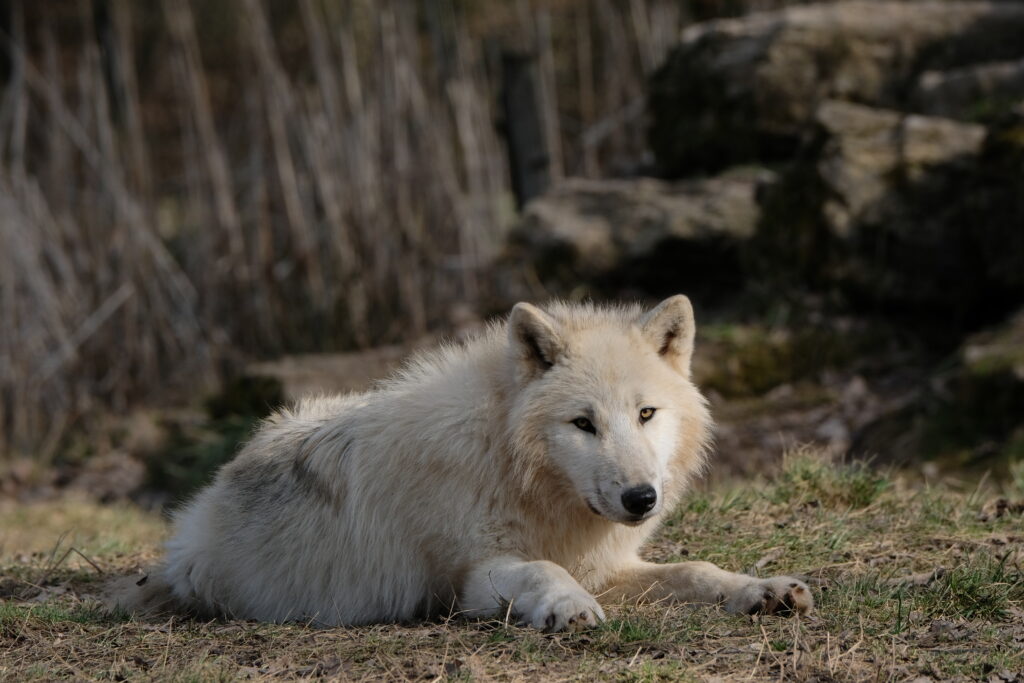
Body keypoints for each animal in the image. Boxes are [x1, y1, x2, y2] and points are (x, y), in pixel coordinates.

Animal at [126, 295, 811, 631]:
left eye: (646, 414)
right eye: (582, 424)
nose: (641, 498)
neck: (514, 469)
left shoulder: (606, 565)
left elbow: (697, 569)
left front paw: (762, 590)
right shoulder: (471, 579)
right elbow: (540, 570)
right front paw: (567, 609)